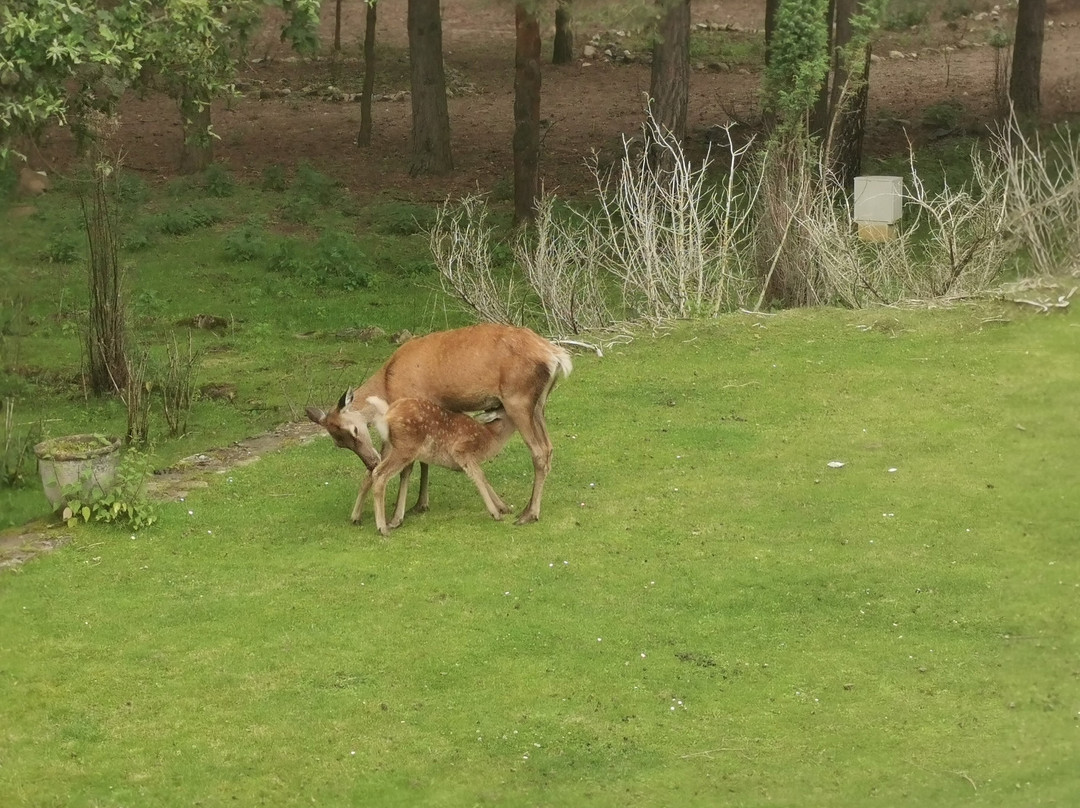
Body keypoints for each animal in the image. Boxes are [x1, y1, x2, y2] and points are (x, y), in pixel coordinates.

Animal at [354, 397, 518, 535]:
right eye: (506, 408)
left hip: (390, 447)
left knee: (370, 471)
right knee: (379, 474)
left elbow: (484, 479)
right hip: (405, 448)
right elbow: (479, 477)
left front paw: (503, 507)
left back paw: (356, 517)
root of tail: (387, 415)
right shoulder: (462, 450)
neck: (490, 438)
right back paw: (382, 528)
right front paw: (495, 513)